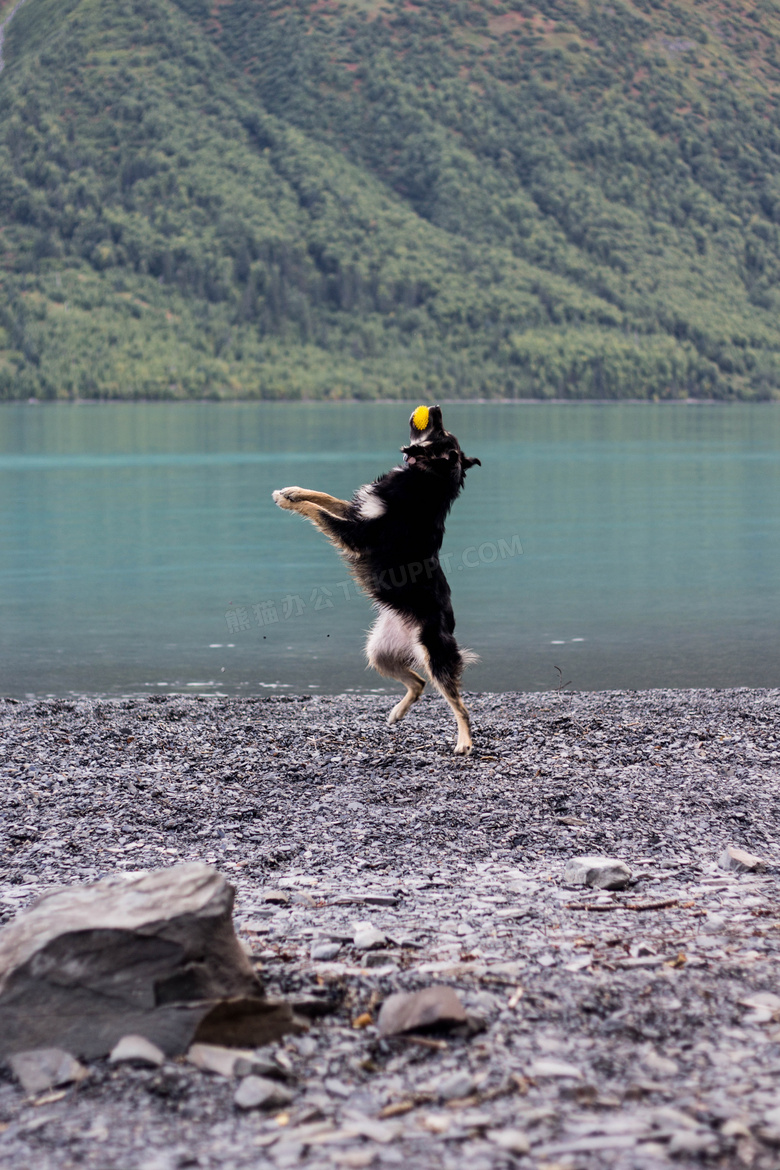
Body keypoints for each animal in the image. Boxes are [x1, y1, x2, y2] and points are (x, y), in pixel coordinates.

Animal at [274, 409, 481, 758]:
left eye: (440, 432)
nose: (436, 408)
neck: (428, 479)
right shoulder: (357, 514)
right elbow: (324, 498)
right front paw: (292, 491)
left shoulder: (357, 535)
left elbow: (316, 511)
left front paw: (291, 502)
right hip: (379, 653)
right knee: (418, 683)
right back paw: (398, 712)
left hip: (434, 656)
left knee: (460, 706)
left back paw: (464, 742)